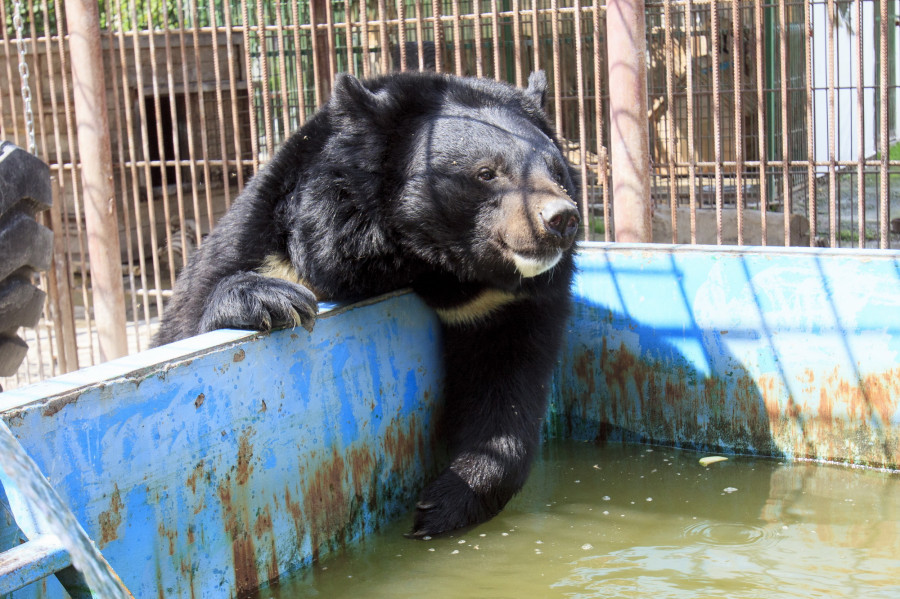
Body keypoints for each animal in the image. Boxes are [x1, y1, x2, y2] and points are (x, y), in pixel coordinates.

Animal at [152, 71, 580, 540]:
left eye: (558, 172)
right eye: (487, 173)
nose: (561, 218)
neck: (430, 266)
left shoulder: (502, 304)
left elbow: (507, 385)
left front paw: (440, 506)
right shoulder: (271, 245)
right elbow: (193, 317)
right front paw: (272, 301)